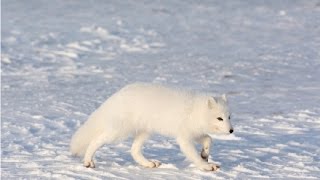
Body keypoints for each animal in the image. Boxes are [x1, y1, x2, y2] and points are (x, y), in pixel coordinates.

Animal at [71, 82, 234, 171]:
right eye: (219, 118)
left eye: (229, 117)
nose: (232, 130)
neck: (195, 111)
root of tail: (118, 95)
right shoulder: (184, 137)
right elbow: (193, 154)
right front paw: (205, 166)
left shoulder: (196, 133)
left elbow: (209, 139)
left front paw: (205, 155)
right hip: (118, 132)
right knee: (95, 141)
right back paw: (88, 161)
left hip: (145, 132)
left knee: (134, 151)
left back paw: (149, 163)